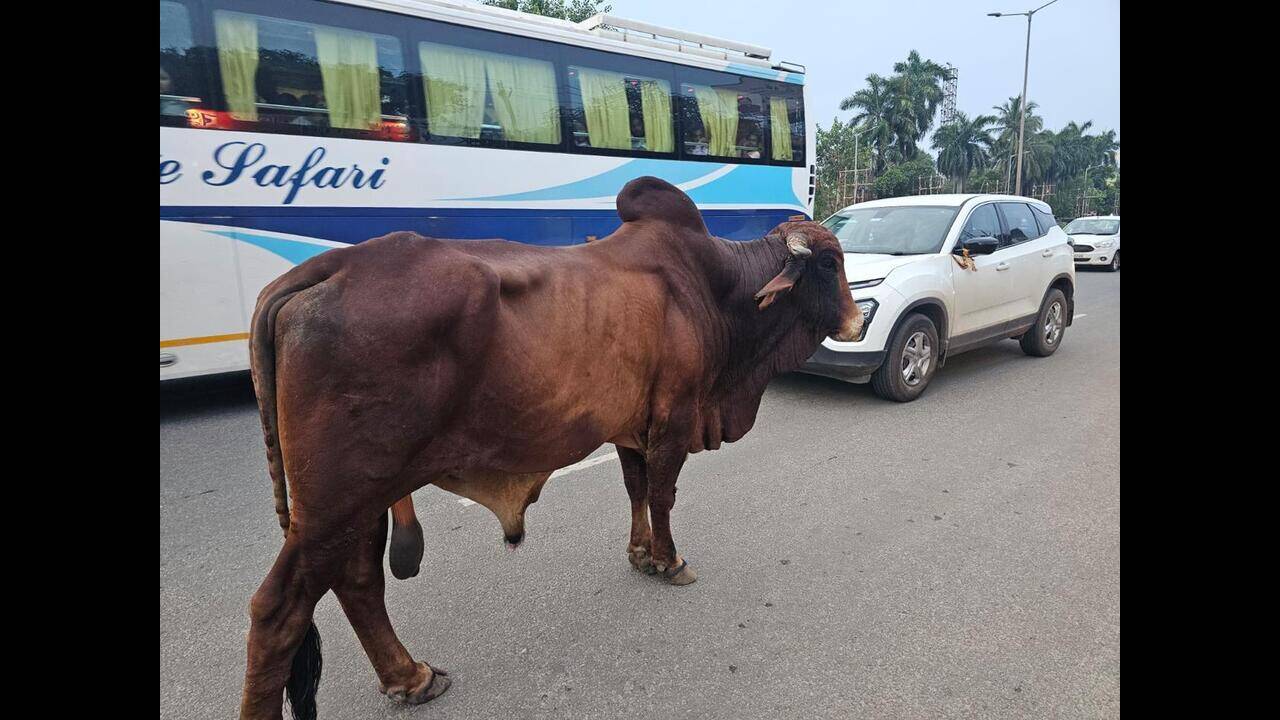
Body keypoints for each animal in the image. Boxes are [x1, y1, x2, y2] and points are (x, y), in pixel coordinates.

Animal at [240, 176, 862, 720]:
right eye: (830, 263)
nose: (858, 323)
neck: (715, 288)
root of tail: (324, 268)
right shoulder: (674, 418)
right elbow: (662, 495)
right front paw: (668, 560)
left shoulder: (630, 426)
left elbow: (636, 489)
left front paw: (640, 553)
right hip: (336, 502)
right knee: (278, 611)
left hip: (364, 498)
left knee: (358, 582)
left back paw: (410, 677)